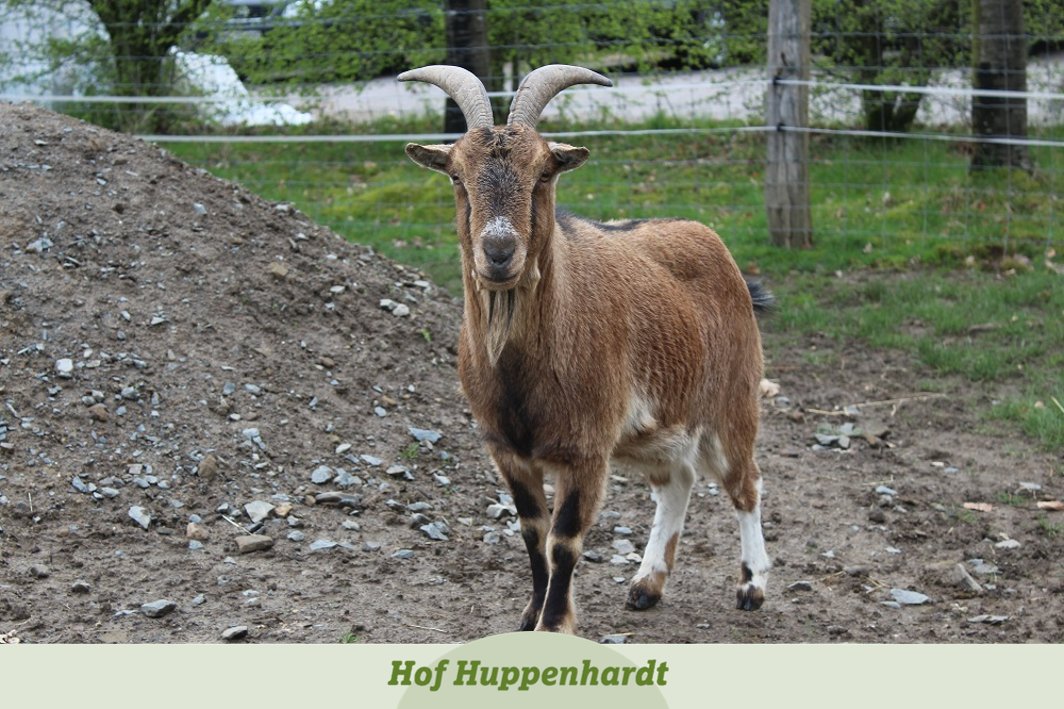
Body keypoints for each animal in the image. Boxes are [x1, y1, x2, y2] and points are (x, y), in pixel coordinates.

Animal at [399, 64, 771, 633]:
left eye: (544, 173)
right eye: (457, 175)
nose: (499, 252)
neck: (523, 373)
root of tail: (718, 247)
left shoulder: (587, 447)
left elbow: (565, 539)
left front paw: (555, 625)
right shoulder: (507, 449)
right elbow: (532, 531)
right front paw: (530, 615)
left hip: (732, 401)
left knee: (744, 482)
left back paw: (751, 586)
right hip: (655, 428)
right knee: (678, 481)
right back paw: (646, 585)